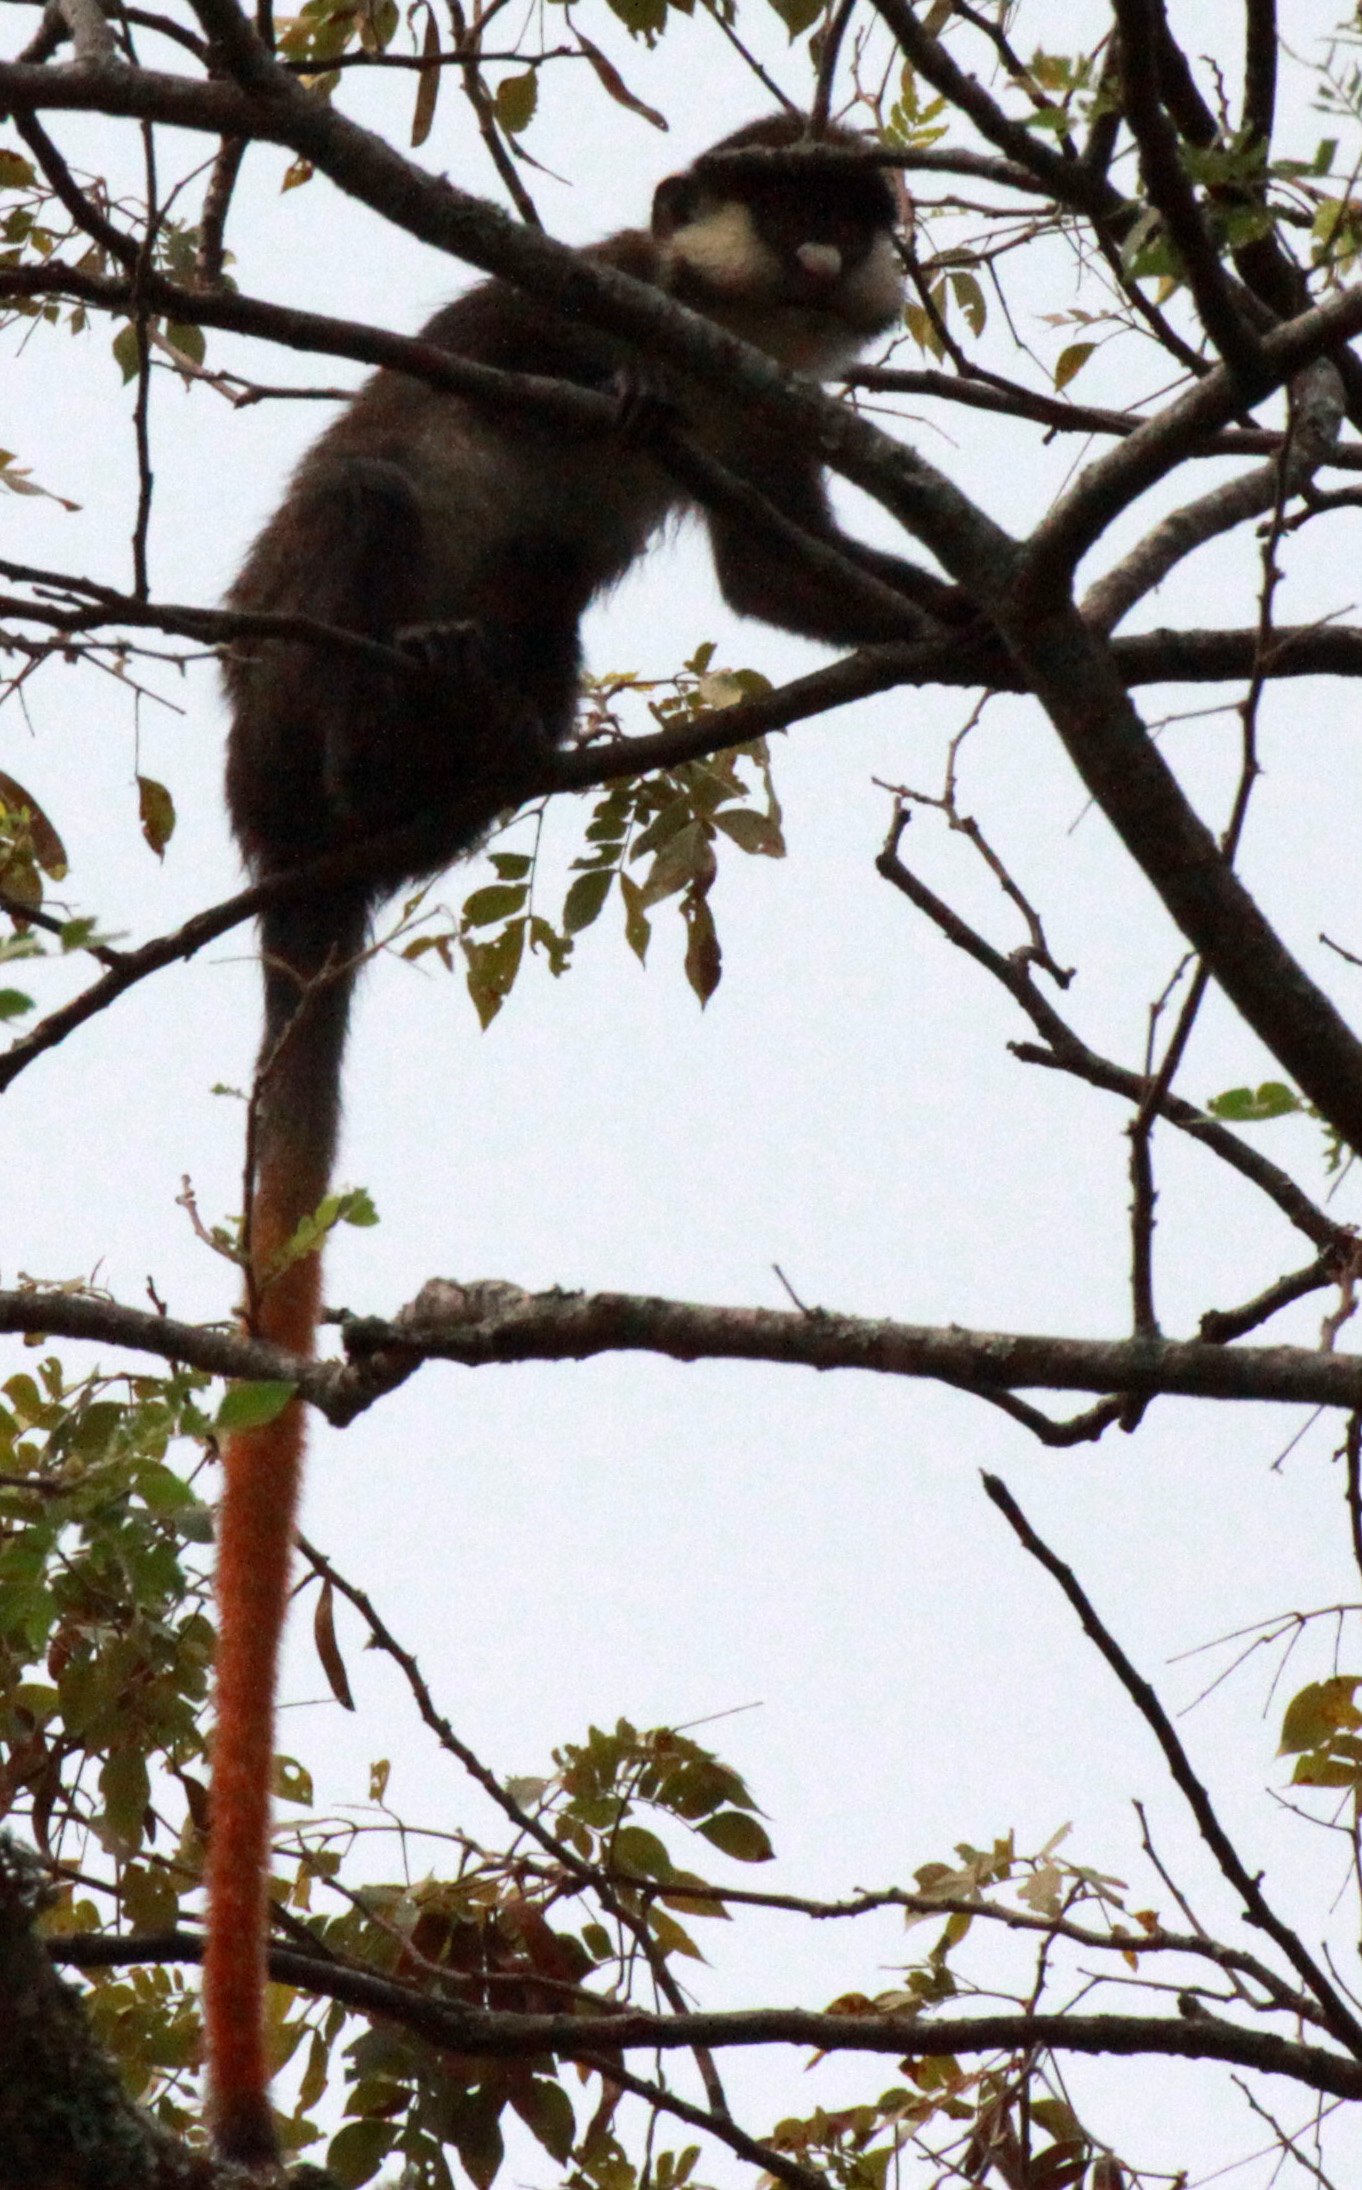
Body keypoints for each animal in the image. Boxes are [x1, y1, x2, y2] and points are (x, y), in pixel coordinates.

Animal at [208, 110, 968, 2168]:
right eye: (790, 204)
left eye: (849, 211)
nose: (833, 256)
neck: (713, 323)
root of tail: (281, 859)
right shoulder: (597, 288)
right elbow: (504, 373)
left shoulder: (765, 396)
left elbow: (782, 577)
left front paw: (1005, 631)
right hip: (283, 695)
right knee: (372, 500)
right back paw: (380, 748)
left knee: (534, 623)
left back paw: (471, 752)